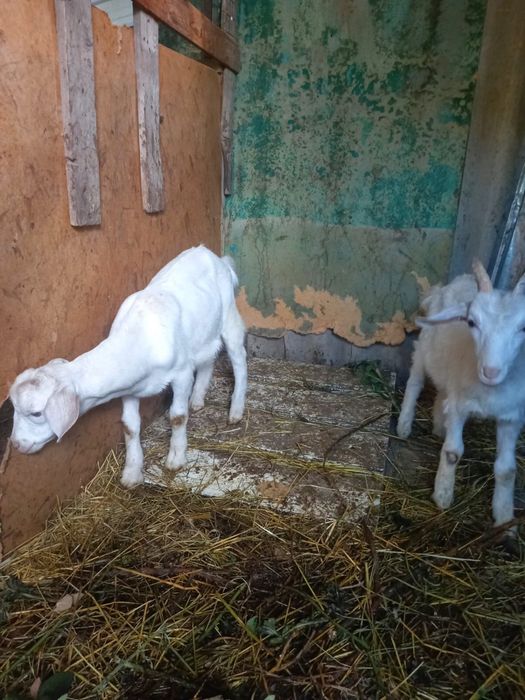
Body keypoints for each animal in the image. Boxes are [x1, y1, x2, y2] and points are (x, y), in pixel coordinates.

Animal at [8, 245, 247, 488]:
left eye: (36, 413)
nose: (16, 444)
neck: (144, 336)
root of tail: (211, 254)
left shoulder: (182, 373)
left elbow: (177, 416)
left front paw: (176, 458)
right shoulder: (130, 388)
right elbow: (130, 426)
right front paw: (132, 472)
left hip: (229, 315)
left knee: (239, 358)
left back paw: (236, 410)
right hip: (204, 331)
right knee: (208, 358)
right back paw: (198, 399)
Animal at [397, 260, 525, 531]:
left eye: (523, 328)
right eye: (472, 322)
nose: (491, 371)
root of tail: (460, 280)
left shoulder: (511, 417)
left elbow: (507, 470)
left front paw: (505, 518)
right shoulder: (459, 407)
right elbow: (453, 452)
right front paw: (443, 494)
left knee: (442, 392)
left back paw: (438, 426)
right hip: (424, 348)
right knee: (415, 382)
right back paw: (404, 425)